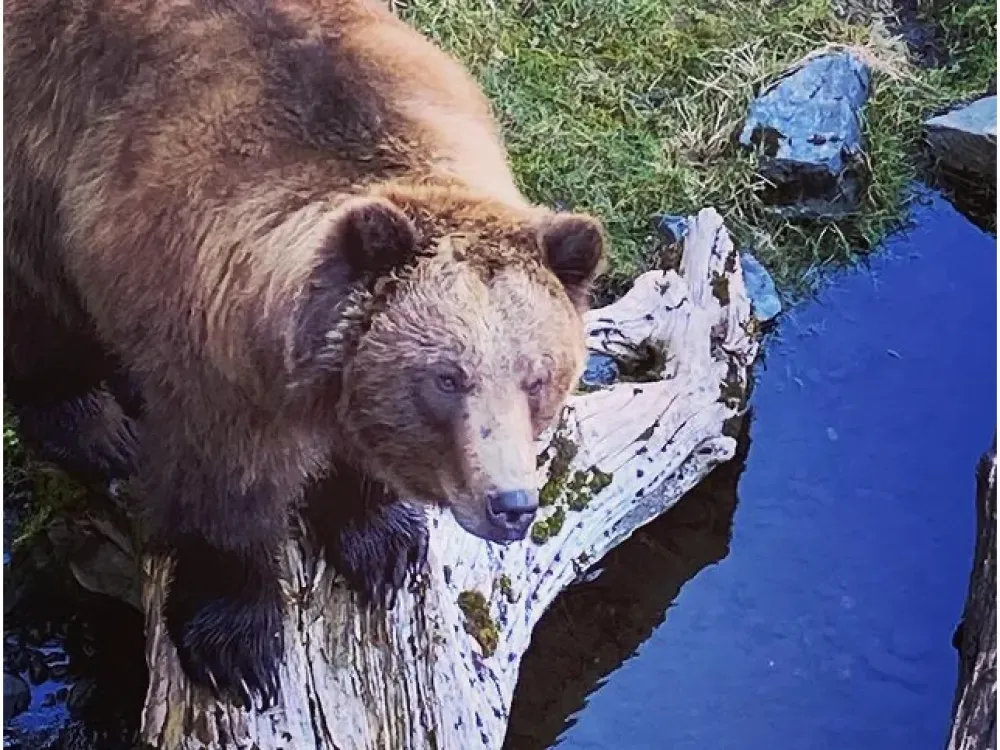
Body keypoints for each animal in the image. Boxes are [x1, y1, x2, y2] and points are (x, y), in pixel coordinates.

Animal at [3, 0, 606, 710]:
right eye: (446, 378)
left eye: (538, 378)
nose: (511, 505)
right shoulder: (209, 347)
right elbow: (223, 489)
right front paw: (238, 646)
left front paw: (382, 545)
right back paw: (97, 431)